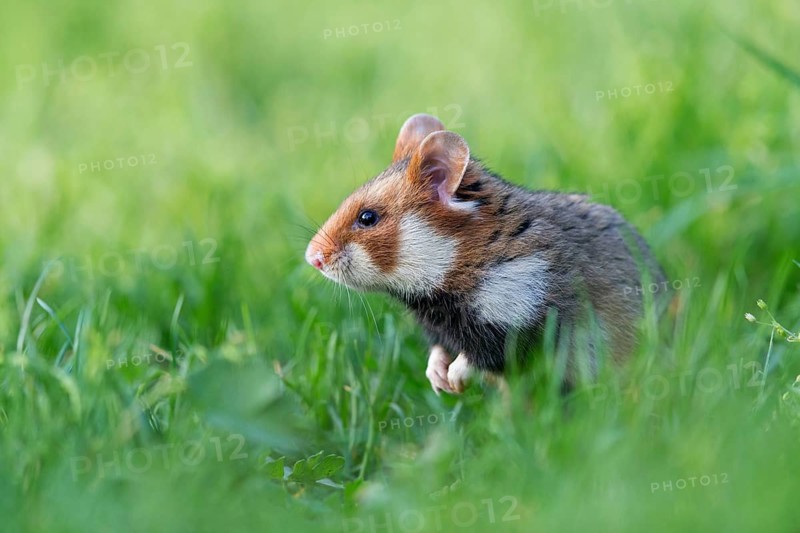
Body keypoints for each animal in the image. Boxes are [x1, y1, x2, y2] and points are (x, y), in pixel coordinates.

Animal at [305, 113, 667, 395]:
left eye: (368, 217)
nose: (312, 258)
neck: (456, 261)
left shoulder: (522, 315)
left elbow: (479, 357)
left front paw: (453, 382)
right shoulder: (441, 331)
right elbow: (438, 352)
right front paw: (439, 383)